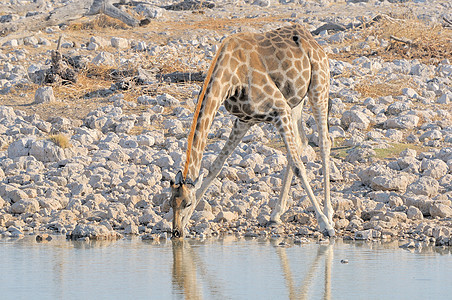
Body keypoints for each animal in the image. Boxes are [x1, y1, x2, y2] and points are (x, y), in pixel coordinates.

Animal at [170, 22, 336, 239]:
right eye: (170, 203)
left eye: (187, 203)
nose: (176, 232)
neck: (231, 77)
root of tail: (311, 39)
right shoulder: (244, 120)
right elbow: (215, 166)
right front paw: (187, 223)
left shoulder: (278, 109)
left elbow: (299, 167)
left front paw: (324, 224)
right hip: (295, 102)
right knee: (301, 142)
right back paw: (275, 214)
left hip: (318, 87)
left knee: (324, 142)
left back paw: (328, 213)